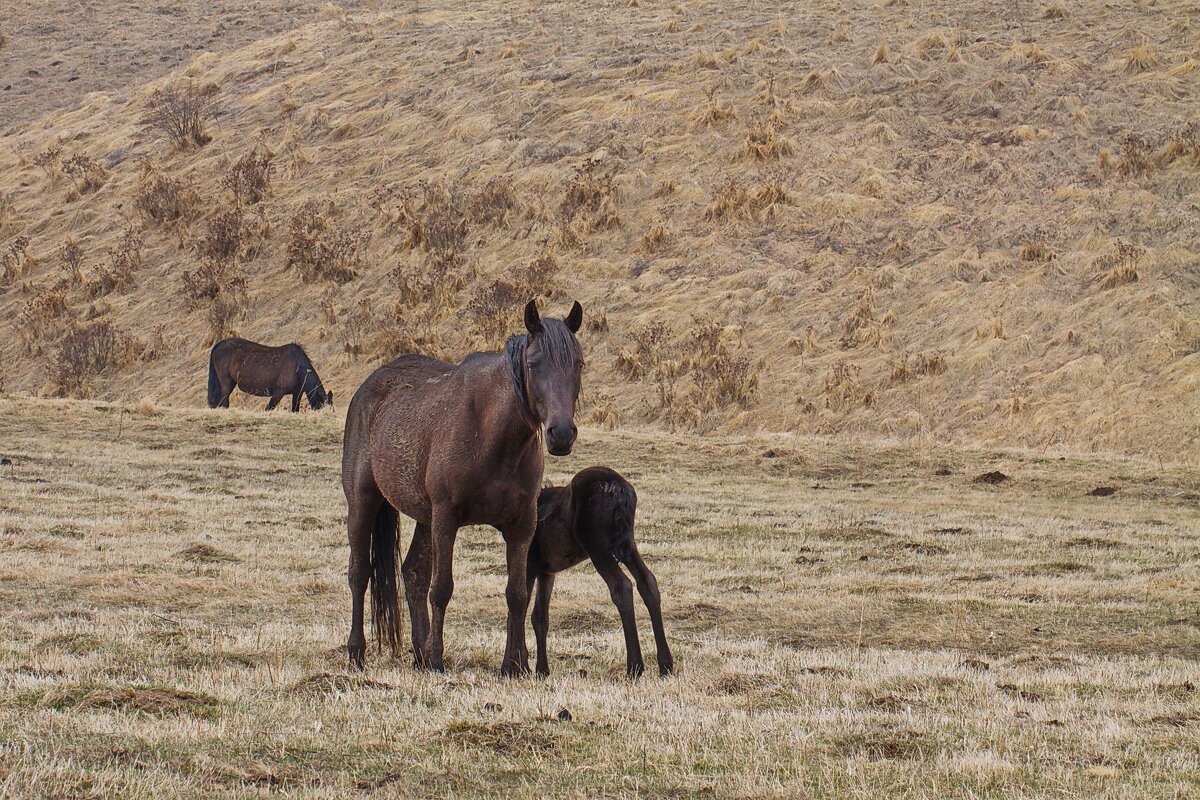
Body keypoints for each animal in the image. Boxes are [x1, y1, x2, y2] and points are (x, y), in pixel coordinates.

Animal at [343, 299, 585, 676]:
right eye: (533, 364)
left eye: (578, 363)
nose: (561, 434)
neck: (492, 435)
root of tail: (371, 386)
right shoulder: (447, 518)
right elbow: (441, 588)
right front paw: (438, 661)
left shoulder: (521, 525)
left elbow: (517, 593)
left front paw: (514, 665)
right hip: (363, 502)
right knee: (359, 573)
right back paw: (358, 652)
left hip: (424, 517)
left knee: (413, 574)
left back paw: (419, 652)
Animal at [535, 465, 676, 681]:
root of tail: (617, 487)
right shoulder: (546, 570)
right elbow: (540, 615)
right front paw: (541, 670)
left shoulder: (529, 562)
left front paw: (520, 668)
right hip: (627, 542)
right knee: (648, 581)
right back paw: (665, 665)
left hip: (597, 545)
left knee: (622, 586)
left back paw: (634, 667)